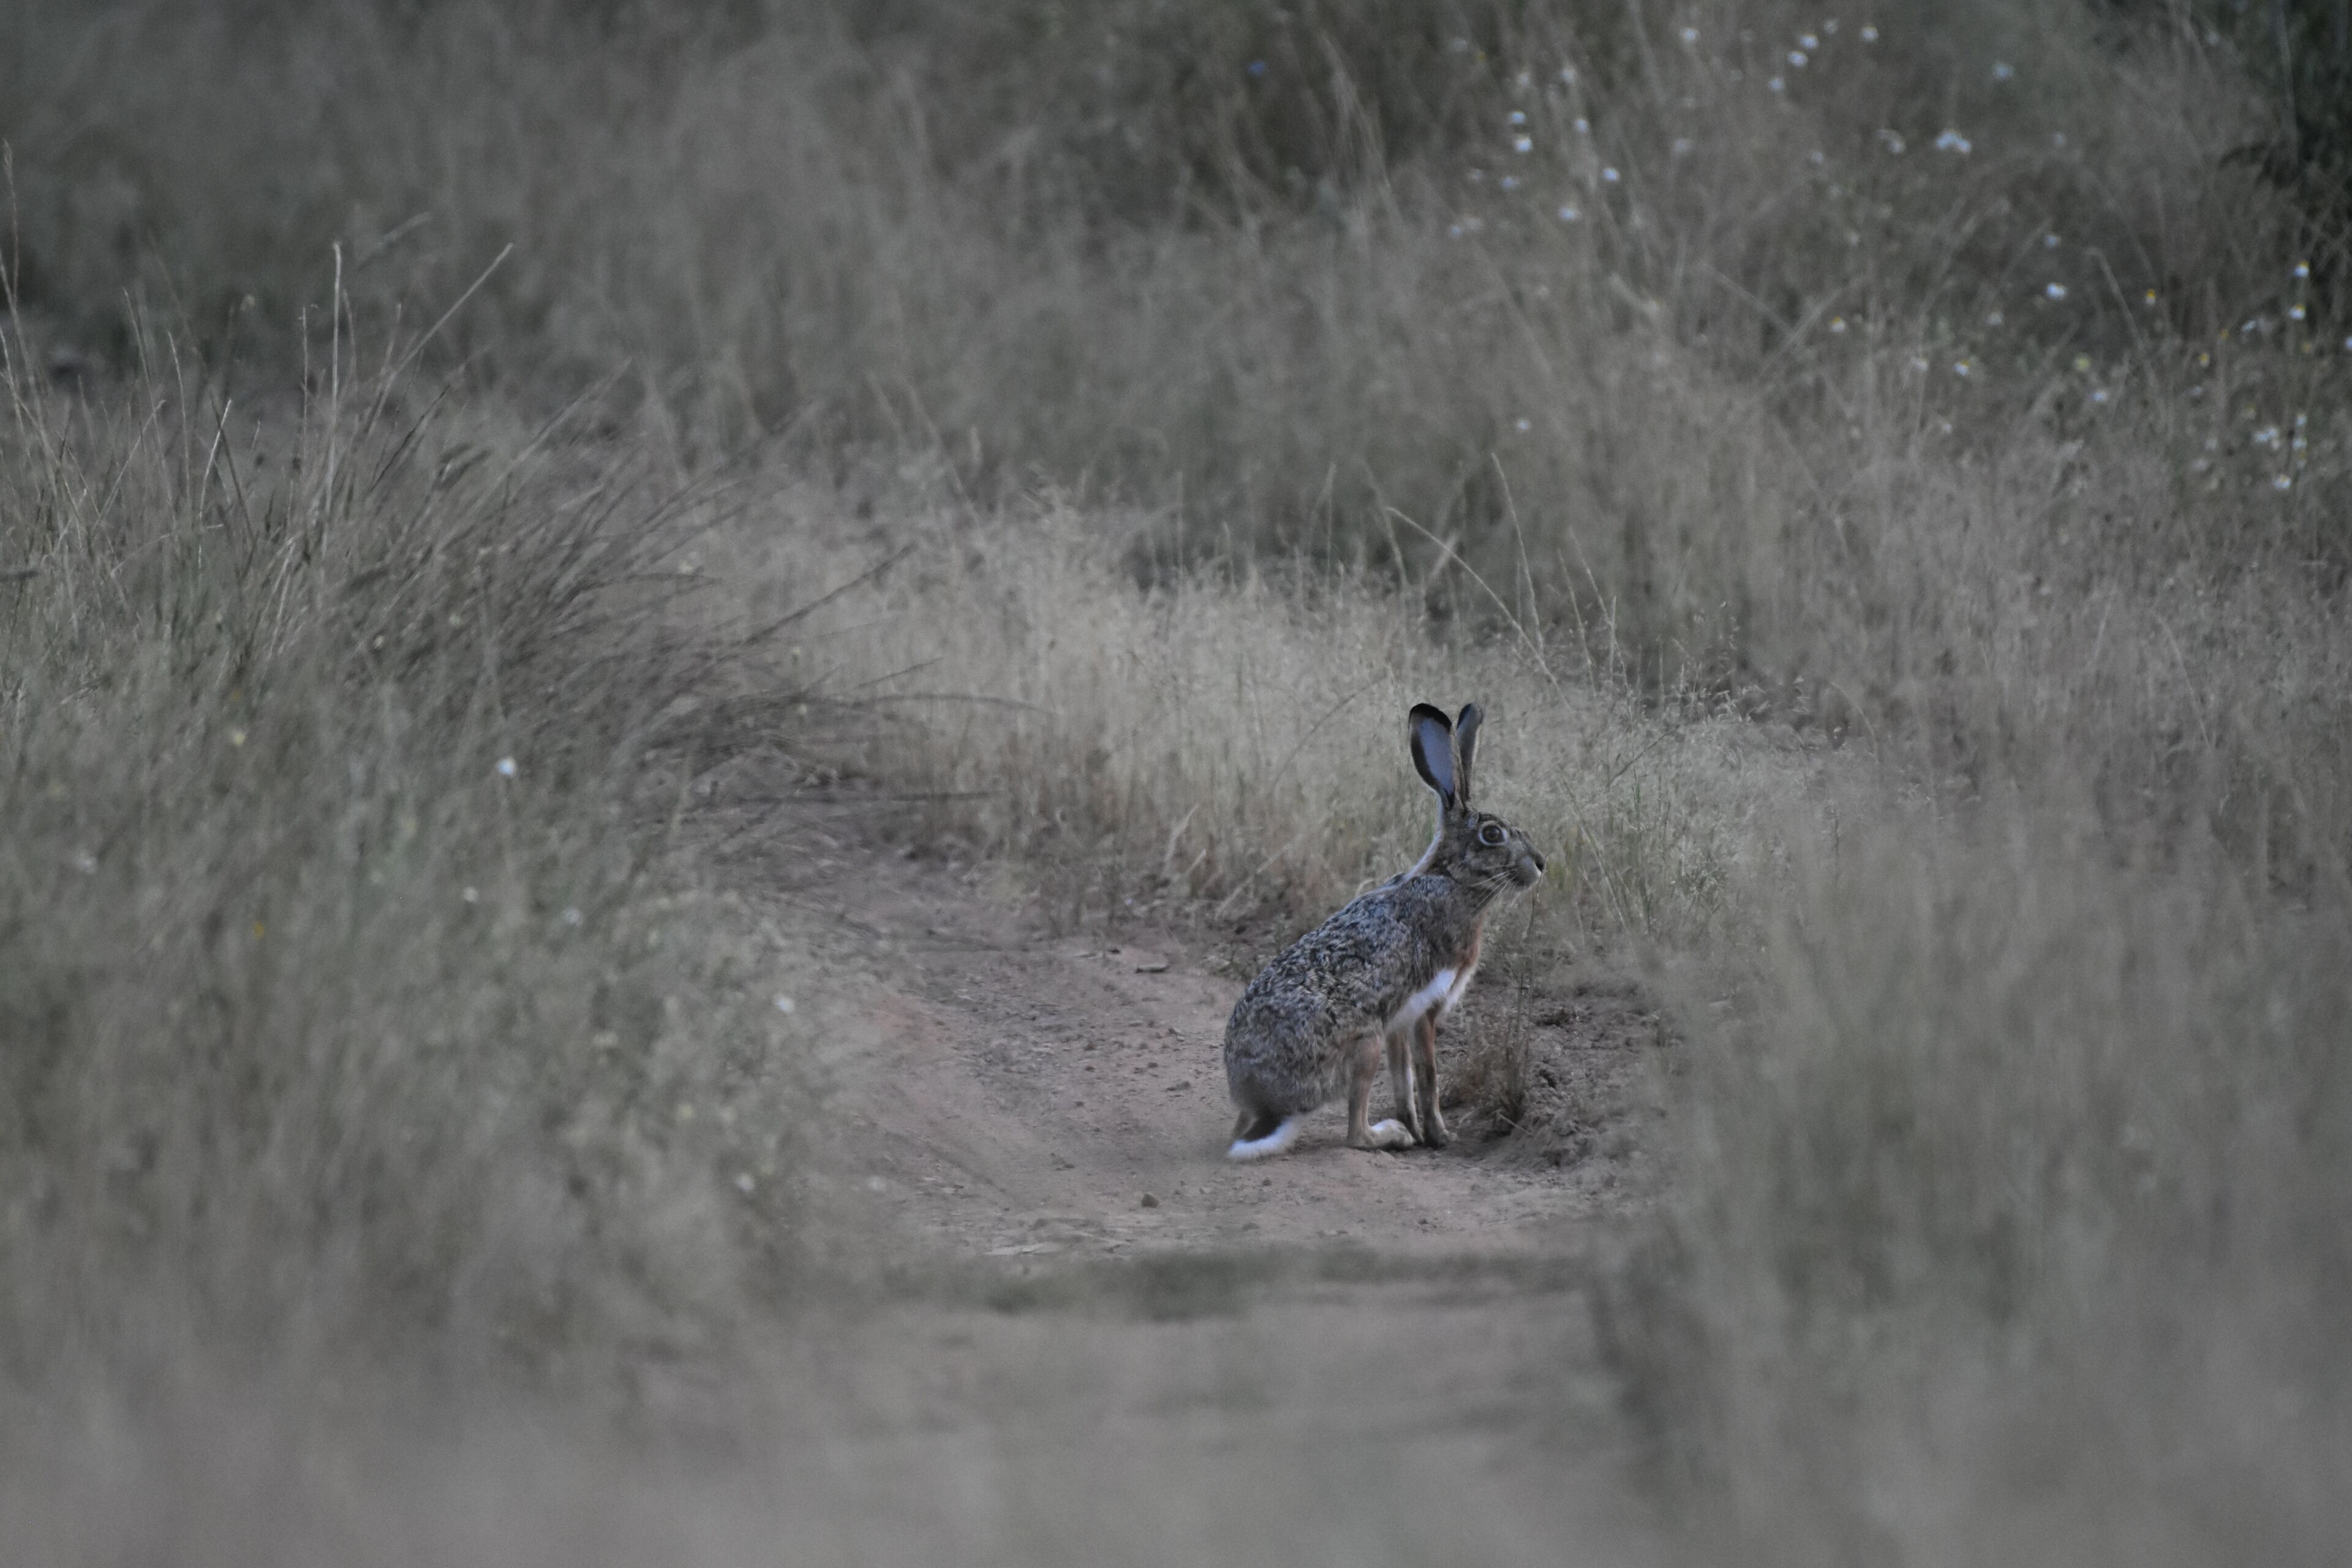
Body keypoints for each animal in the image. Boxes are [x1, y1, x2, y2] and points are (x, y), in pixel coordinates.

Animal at [1222, 701, 1547, 1159]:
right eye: (1492, 834)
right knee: (1354, 1134)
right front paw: (1440, 1136)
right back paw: (1389, 1135)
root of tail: (1269, 1103)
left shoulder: (1398, 1023)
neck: (1451, 878)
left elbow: (1403, 1080)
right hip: (1364, 1044)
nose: (1540, 863)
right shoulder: (1425, 1011)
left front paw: (1418, 1130)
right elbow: (1427, 1076)